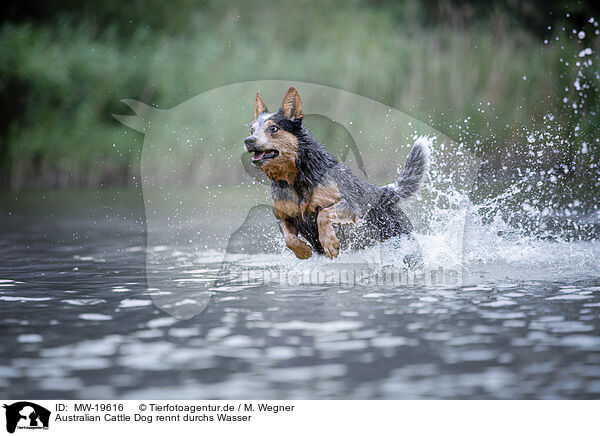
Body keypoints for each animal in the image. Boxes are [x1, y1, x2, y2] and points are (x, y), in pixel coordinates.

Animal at [241, 87, 428, 260]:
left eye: (273, 128)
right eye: (251, 130)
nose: (248, 141)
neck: (297, 180)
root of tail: (380, 191)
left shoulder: (350, 205)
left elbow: (323, 214)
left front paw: (329, 242)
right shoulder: (283, 217)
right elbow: (289, 238)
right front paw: (302, 251)